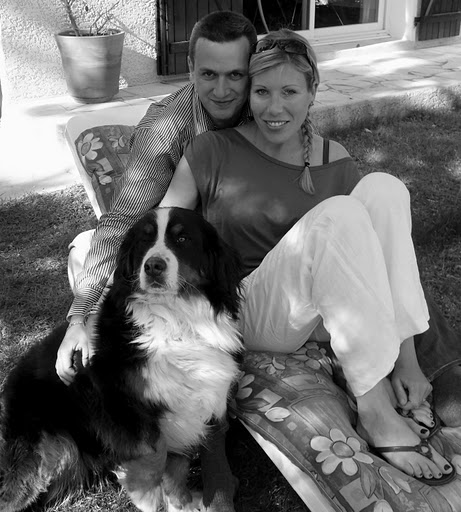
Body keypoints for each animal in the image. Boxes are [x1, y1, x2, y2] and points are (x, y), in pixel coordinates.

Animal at [0, 207, 244, 512]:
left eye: (183, 239)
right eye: (144, 240)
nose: (153, 266)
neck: (175, 320)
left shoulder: (190, 409)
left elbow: (177, 469)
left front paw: (180, 503)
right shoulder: (125, 411)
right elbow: (153, 462)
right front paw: (149, 499)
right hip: (36, 457)